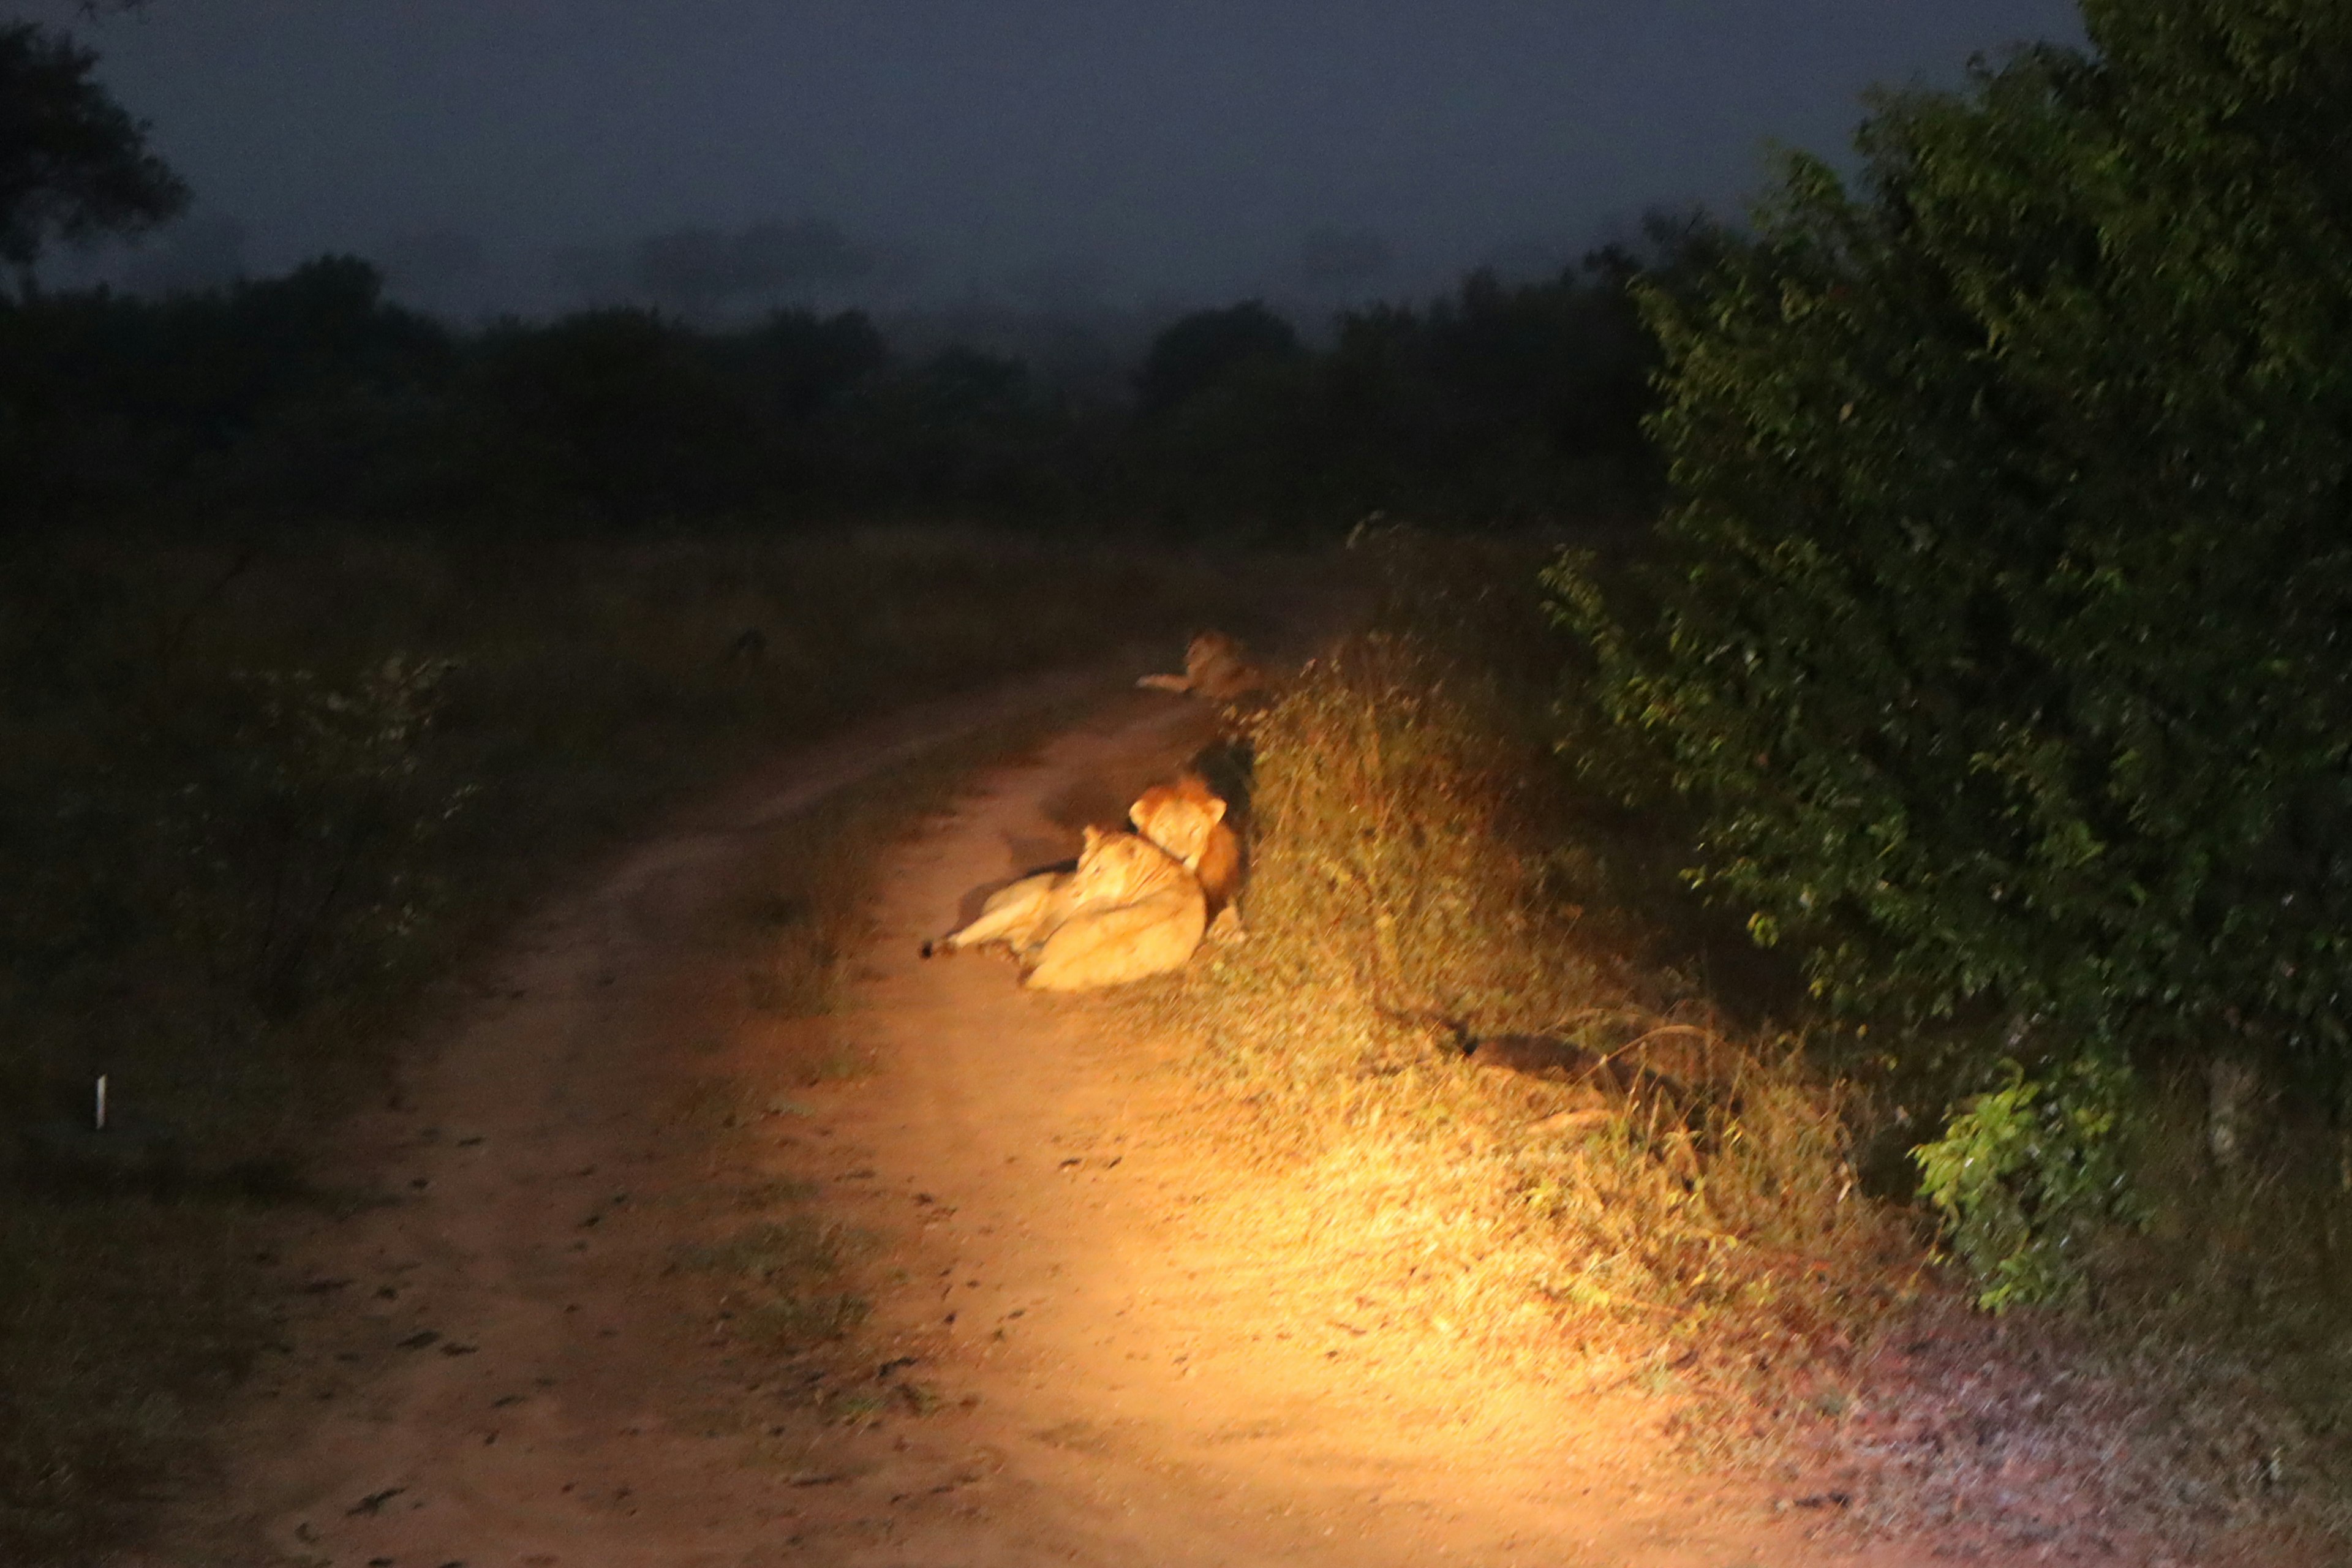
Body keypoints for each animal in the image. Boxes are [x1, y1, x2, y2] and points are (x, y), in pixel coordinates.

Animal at [922, 823, 1213, 992]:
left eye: (1100, 870)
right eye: (1083, 865)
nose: (1074, 888)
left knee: (1012, 941)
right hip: (1016, 905)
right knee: (972, 932)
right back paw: (950, 946)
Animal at [1138, 630, 1270, 705]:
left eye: (1194, 652)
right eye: (1189, 649)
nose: (1185, 661)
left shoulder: (1190, 682)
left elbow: (1167, 678)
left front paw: (1144, 681)